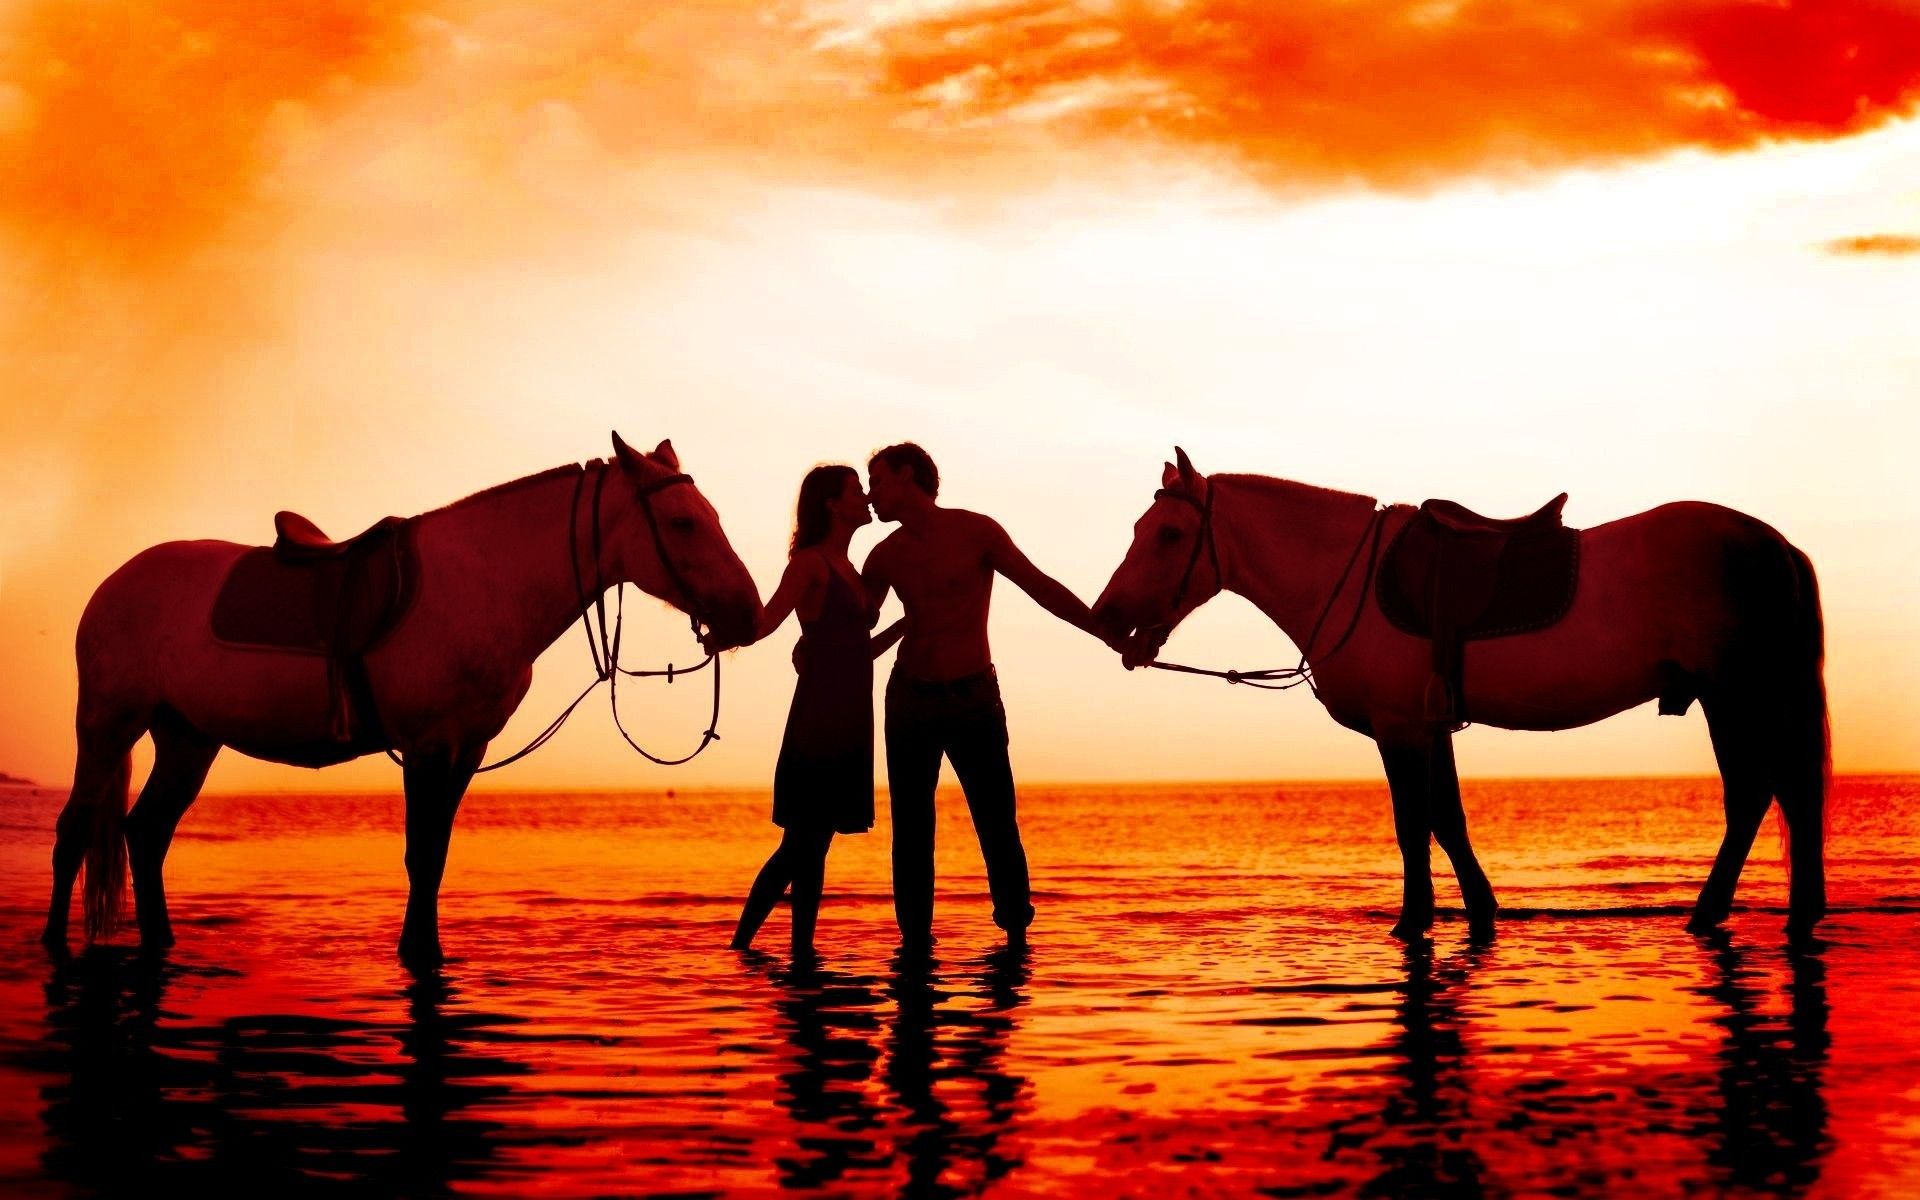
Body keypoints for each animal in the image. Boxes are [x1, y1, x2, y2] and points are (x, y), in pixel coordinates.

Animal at [42, 433, 761, 967]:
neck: (486, 582)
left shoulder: (467, 747)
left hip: (188, 738)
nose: (748, 615)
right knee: (76, 829)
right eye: (682, 523)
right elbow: (421, 853)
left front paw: (426, 949)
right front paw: (419, 953)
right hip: (107, 724)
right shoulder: (427, 745)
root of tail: (116, 582)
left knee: (147, 832)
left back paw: (163, 941)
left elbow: (436, 855)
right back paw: (54, 941)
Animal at [1092, 449, 1829, 942]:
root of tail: (1775, 544)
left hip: (1734, 694)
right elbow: (1448, 820)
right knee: (1784, 794)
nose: (1107, 615)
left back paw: (1715, 913)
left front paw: (1412, 920)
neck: (1343, 574)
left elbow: (1413, 825)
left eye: (1169, 534)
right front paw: (1479, 909)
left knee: (1757, 794)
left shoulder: (1399, 729)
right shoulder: (1430, 725)